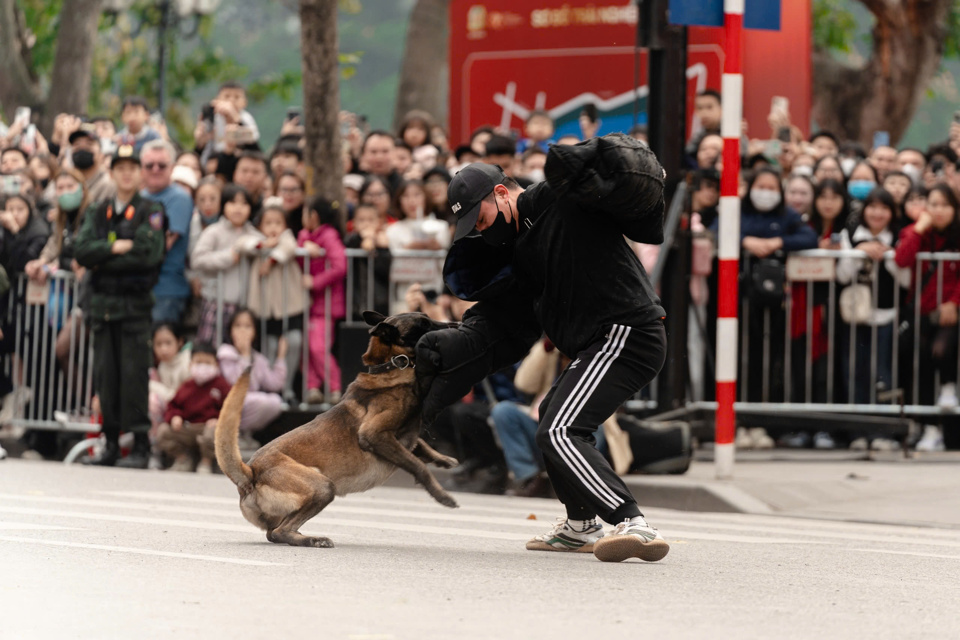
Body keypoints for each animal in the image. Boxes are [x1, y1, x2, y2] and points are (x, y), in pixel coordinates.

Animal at [215, 310, 462, 544]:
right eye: (424, 324)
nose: (457, 325)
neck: (390, 366)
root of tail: (250, 473)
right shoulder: (375, 435)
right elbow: (418, 466)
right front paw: (442, 495)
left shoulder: (402, 438)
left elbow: (420, 446)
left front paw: (443, 459)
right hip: (323, 487)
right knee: (280, 531)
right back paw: (313, 540)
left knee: (274, 532)